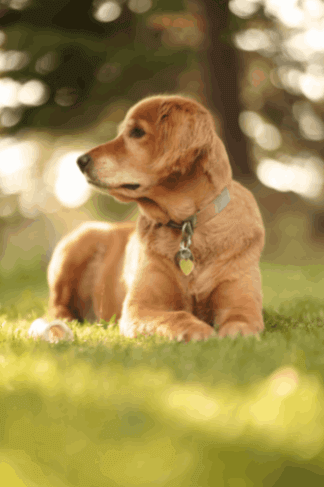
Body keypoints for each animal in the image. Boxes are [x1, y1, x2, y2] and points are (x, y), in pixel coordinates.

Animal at [48, 94, 266, 340]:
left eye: (137, 132)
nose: (80, 161)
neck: (187, 225)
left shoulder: (242, 301)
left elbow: (240, 322)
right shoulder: (140, 308)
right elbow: (176, 316)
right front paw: (198, 329)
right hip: (78, 242)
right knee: (56, 306)